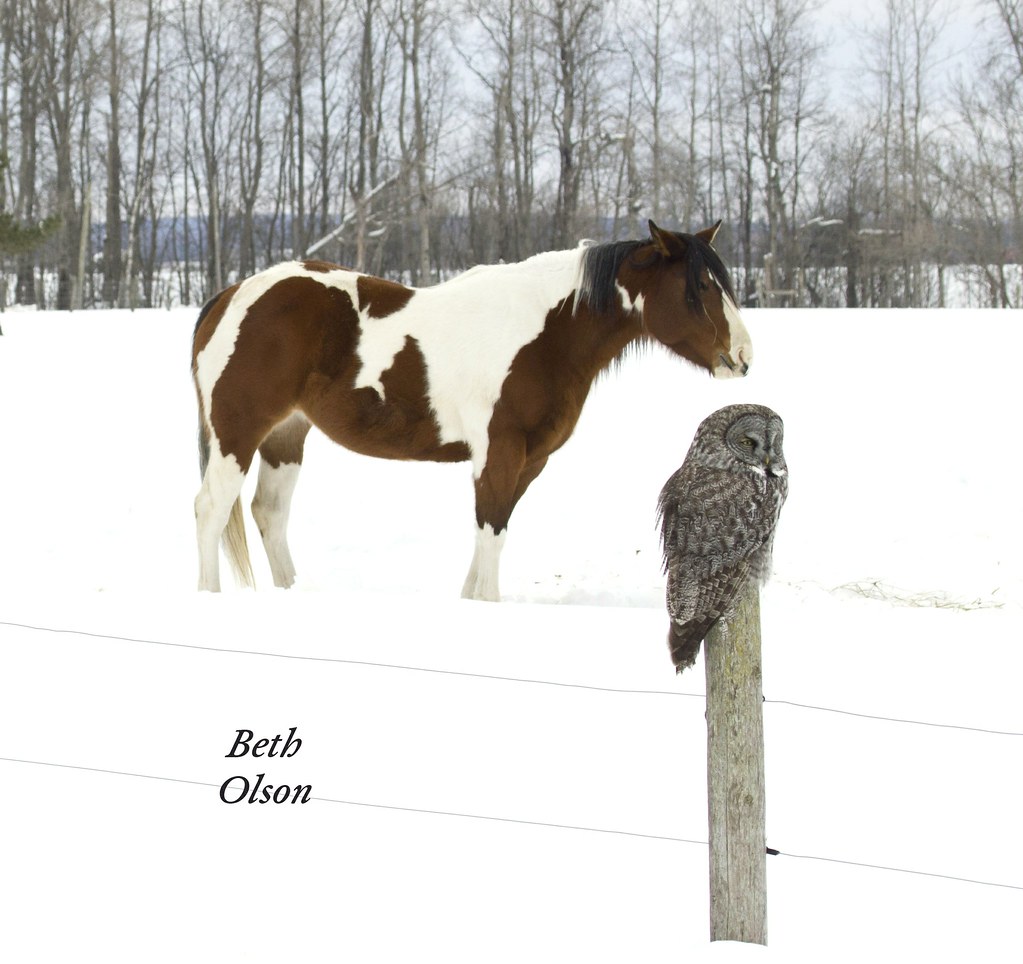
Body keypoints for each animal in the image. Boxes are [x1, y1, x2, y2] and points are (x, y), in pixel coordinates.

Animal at [191, 219, 752, 600]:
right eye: (699, 287)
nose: (743, 356)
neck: (546, 334)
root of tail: (230, 295)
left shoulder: (530, 461)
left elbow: (493, 531)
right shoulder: (498, 452)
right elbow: (490, 533)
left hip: (286, 434)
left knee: (269, 513)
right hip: (237, 436)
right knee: (212, 509)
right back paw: (210, 596)